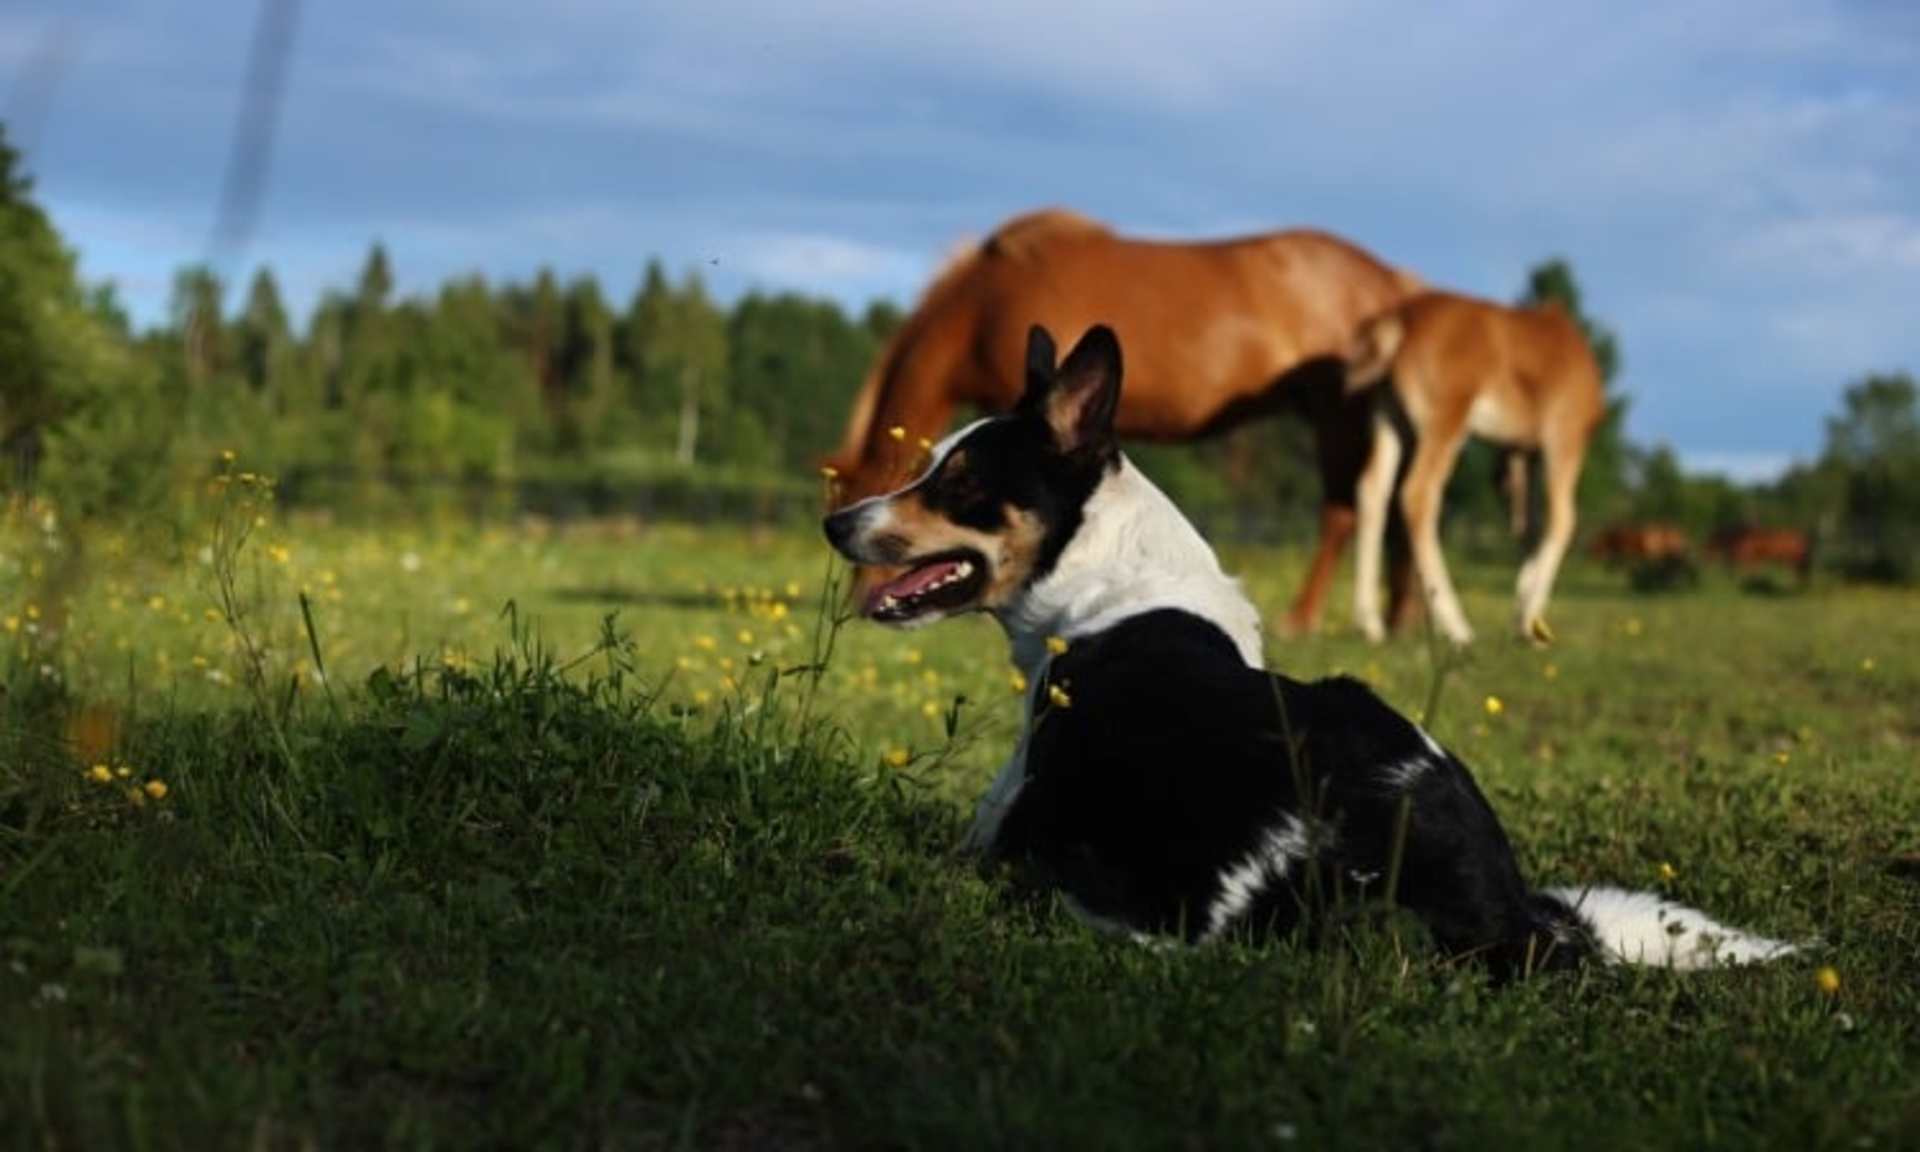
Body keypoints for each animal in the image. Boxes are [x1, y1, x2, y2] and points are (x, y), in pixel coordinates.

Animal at [820, 208, 1438, 637]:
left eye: (961, 480)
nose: (836, 534)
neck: (981, 303)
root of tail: (1398, 284)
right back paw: (1400, 620)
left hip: (1337, 409)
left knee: (1345, 511)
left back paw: (1305, 619)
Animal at [1346, 290, 1606, 646]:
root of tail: (1401, 319)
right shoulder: (1563, 433)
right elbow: (1561, 520)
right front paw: (1529, 620)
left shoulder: (1519, 451)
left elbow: (1527, 526)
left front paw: (1525, 621)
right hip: (1447, 415)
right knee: (1419, 493)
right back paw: (1458, 629)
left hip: (1388, 414)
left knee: (1372, 487)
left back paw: (1371, 625)